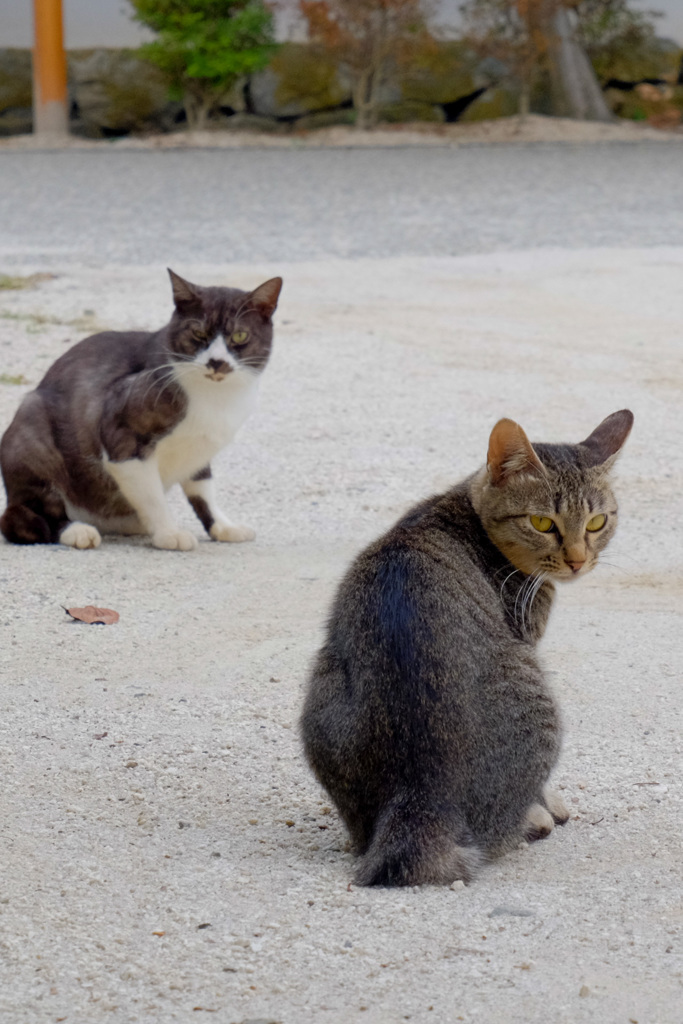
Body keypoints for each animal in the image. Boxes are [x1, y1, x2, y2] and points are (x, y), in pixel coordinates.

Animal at [0, 268, 282, 548]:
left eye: (240, 336)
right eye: (198, 334)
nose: (216, 361)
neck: (216, 399)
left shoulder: (199, 451)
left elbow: (203, 490)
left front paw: (223, 526)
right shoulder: (123, 439)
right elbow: (152, 496)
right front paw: (169, 533)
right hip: (33, 429)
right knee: (26, 517)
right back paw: (76, 530)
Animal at [301, 411, 634, 884]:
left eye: (596, 523)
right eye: (543, 523)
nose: (577, 560)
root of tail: (421, 795)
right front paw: (547, 805)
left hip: (319, 691)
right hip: (538, 695)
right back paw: (533, 819)